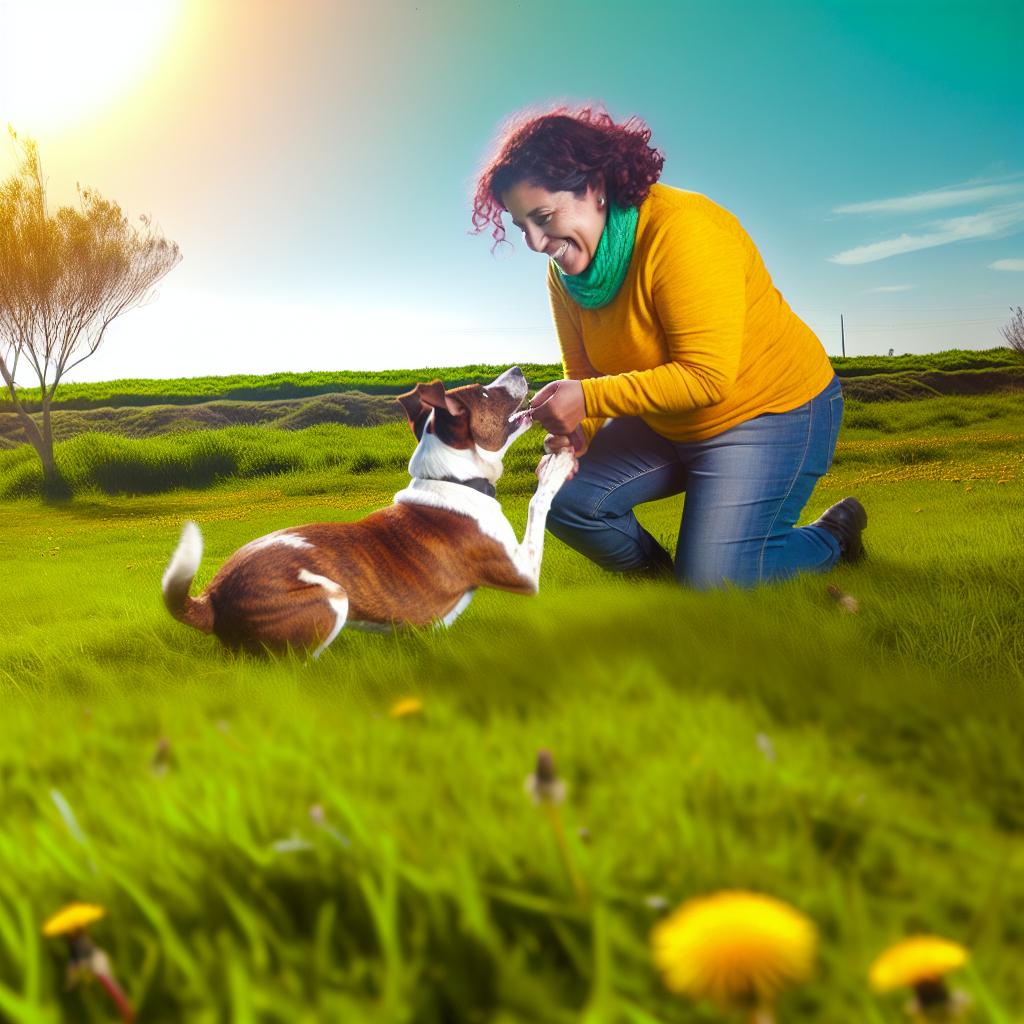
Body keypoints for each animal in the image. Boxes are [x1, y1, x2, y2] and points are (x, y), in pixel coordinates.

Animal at [160, 366, 577, 655]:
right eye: (486, 394)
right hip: (331, 598)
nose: (519, 369)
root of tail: (211, 600)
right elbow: (537, 503)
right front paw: (556, 465)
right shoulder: (522, 571)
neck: (453, 478)